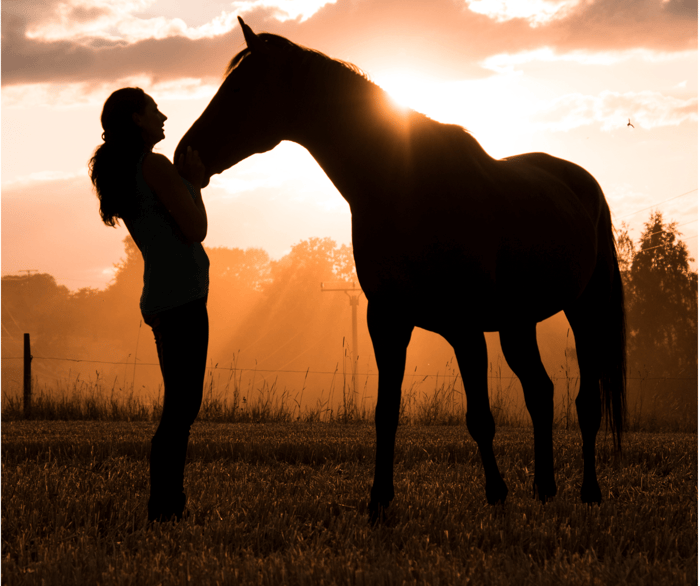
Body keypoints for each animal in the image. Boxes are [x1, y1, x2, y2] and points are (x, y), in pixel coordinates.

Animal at [176, 18, 627, 520]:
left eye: (240, 88)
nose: (184, 154)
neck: (406, 187)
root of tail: (583, 184)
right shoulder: (387, 320)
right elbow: (385, 413)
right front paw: (379, 501)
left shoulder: (464, 327)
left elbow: (480, 417)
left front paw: (495, 493)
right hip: (517, 324)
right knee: (541, 393)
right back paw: (545, 487)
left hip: (586, 312)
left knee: (586, 402)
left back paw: (589, 491)